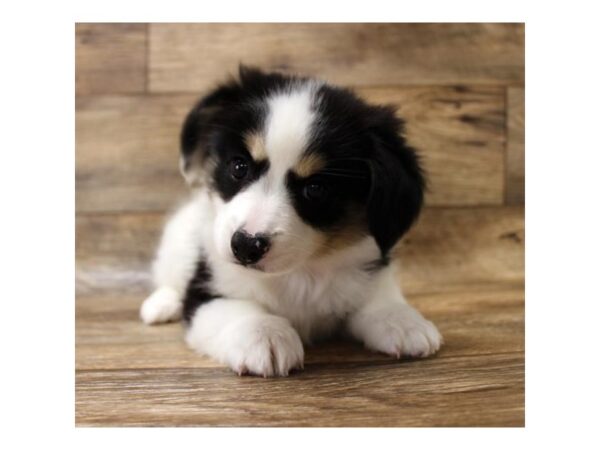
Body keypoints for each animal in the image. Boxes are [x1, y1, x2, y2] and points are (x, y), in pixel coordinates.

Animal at [139, 67, 440, 376]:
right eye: (239, 167)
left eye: (316, 189)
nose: (246, 246)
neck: (301, 272)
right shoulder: (205, 290)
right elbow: (237, 309)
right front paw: (264, 333)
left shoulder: (363, 271)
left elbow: (376, 297)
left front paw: (400, 319)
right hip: (177, 238)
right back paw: (161, 304)